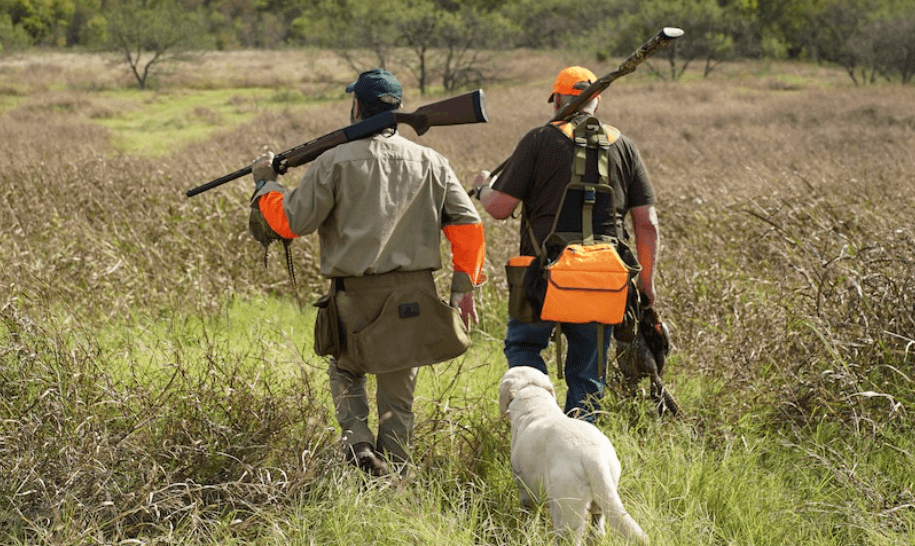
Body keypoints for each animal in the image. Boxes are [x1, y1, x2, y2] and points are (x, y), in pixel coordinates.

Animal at [500, 364, 652, 540]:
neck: (534, 397)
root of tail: (594, 456)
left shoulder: (524, 486)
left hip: (566, 505)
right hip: (603, 495)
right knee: (597, 531)